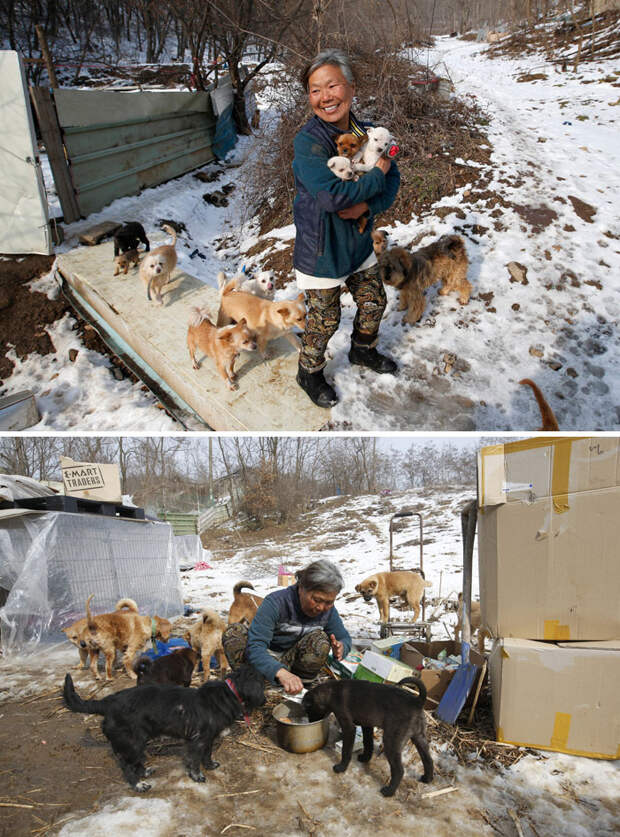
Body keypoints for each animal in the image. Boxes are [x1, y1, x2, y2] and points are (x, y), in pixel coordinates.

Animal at [64, 660, 266, 792]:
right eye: (262, 684)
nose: (265, 701)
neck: (228, 693)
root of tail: (107, 702)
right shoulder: (197, 741)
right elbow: (194, 761)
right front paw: (197, 776)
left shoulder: (207, 739)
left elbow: (207, 755)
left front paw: (209, 765)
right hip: (132, 743)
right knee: (127, 767)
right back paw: (139, 785)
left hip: (136, 743)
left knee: (135, 763)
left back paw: (145, 772)